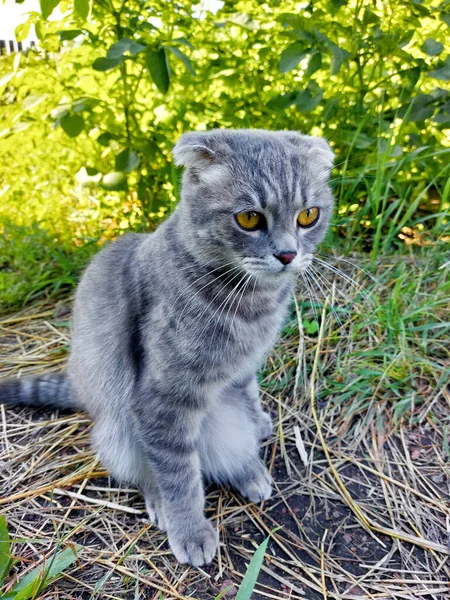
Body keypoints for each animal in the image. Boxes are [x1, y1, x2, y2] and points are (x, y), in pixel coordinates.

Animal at [0, 129, 334, 564]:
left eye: (308, 215)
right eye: (249, 219)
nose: (288, 254)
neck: (254, 304)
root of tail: (78, 384)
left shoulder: (243, 367)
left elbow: (247, 392)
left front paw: (258, 420)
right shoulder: (163, 398)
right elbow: (178, 471)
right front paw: (190, 529)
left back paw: (252, 470)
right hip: (117, 424)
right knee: (148, 465)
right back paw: (168, 500)